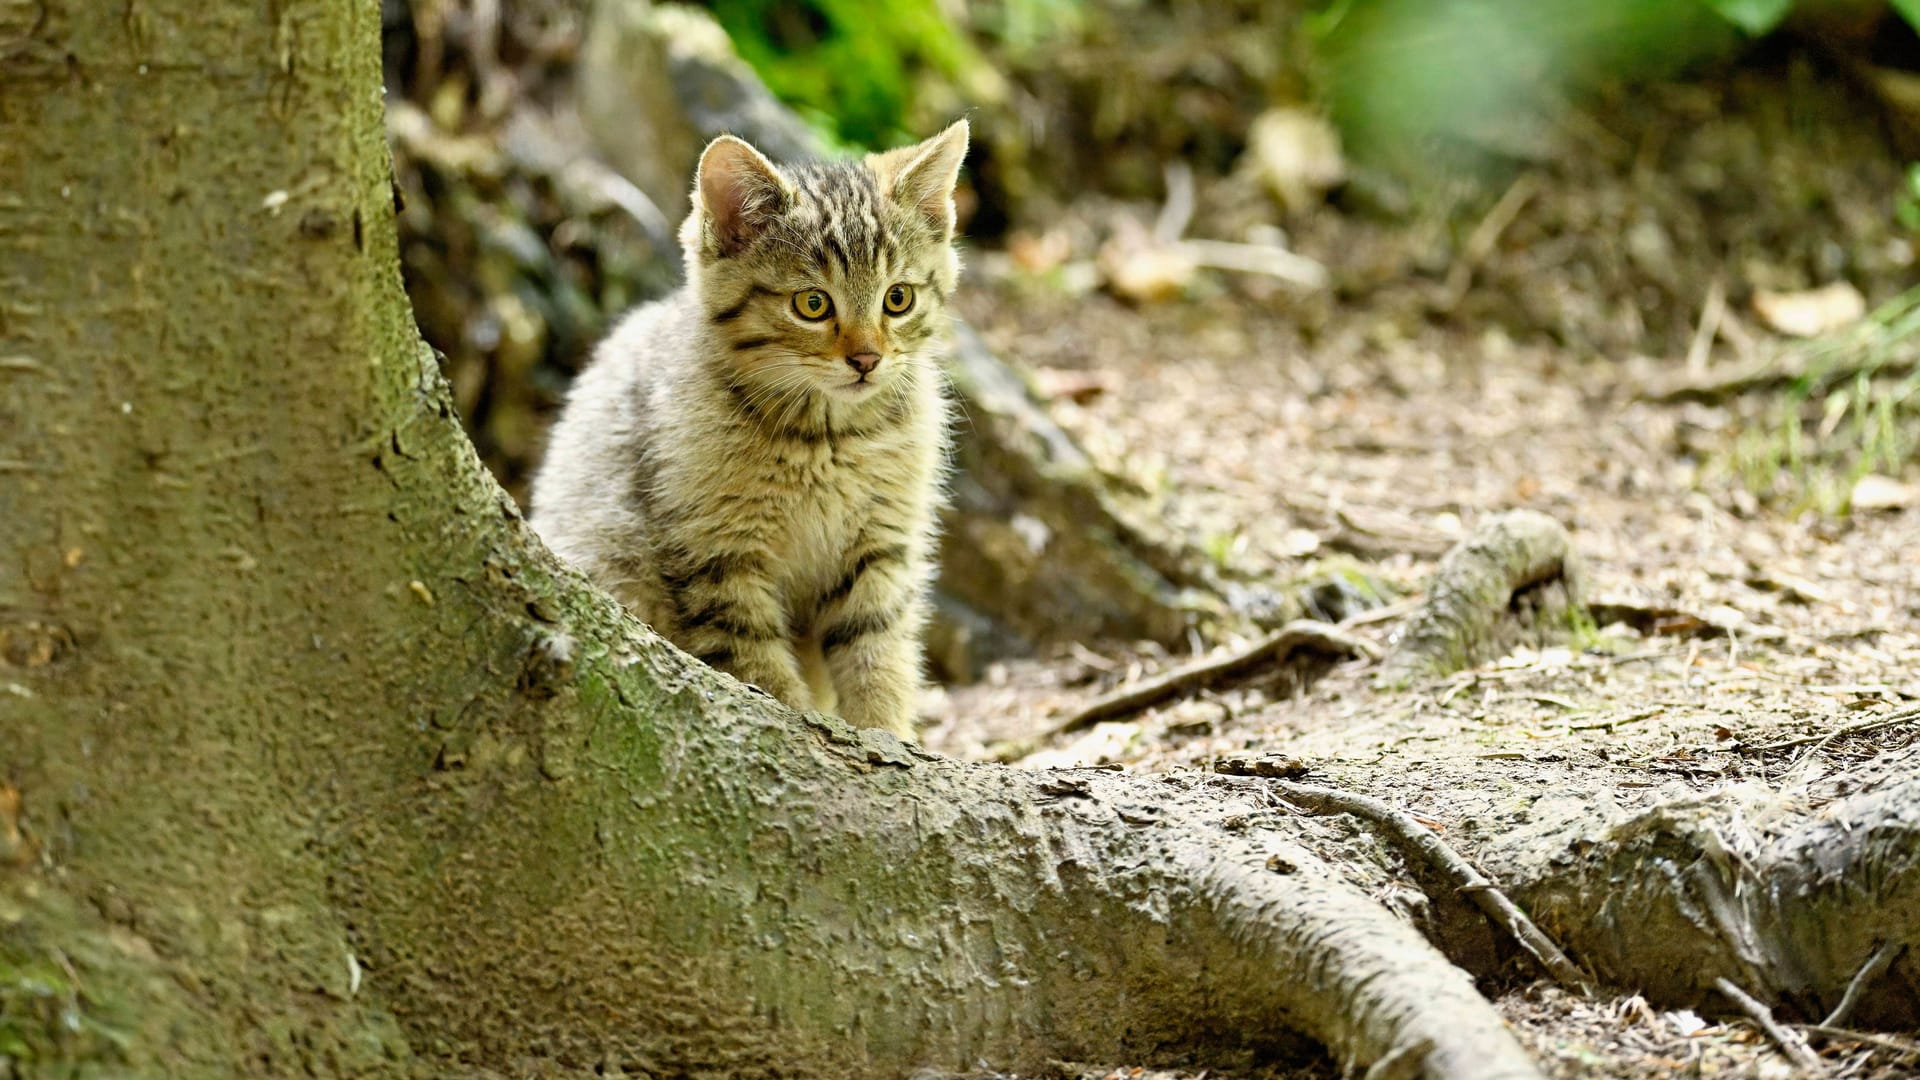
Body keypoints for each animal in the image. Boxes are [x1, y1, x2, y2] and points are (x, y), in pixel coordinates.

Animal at [529, 119, 967, 737]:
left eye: (898, 299)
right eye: (813, 304)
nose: (867, 359)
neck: (827, 440)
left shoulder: (880, 548)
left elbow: (878, 653)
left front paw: (888, 734)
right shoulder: (717, 557)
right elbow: (762, 672)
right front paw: (804, 727)